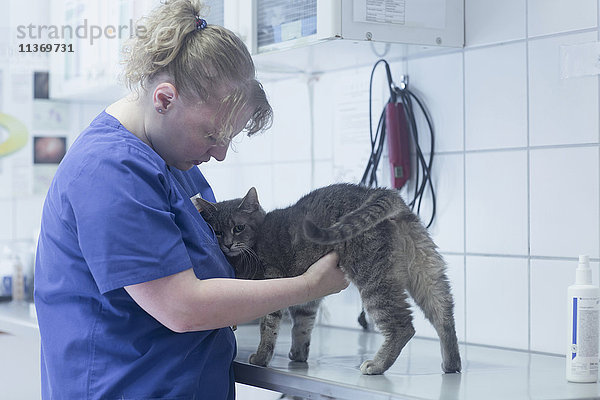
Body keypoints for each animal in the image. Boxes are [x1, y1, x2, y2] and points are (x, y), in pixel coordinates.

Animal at [190, 184, 462, 376]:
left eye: (238, 228)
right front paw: (298, 354)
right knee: (444, 314)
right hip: (426, 270)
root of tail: (376, 191)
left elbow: (268, 328)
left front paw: (261, 358)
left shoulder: (271, 281)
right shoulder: (306, 299)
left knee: (402, 325)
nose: (227, 244)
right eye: (216, 231)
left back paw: (376, 365)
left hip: (373, 278)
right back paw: (451, 364)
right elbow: (302, 326)